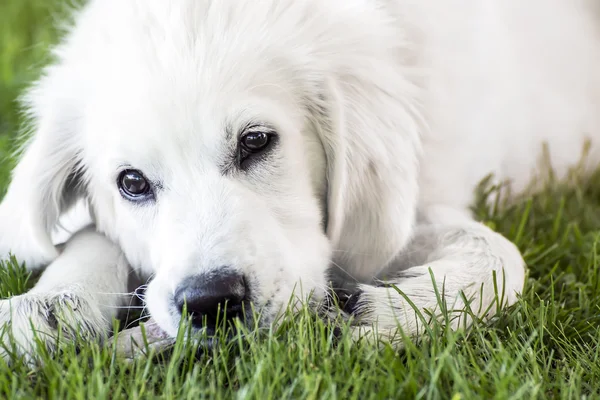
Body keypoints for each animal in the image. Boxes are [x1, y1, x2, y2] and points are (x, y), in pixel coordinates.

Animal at [1, 0, 600, 356]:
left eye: (256, 141)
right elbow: (87, 235)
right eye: (131, 182)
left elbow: (501, 258)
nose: (209, 303)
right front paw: (48, 307)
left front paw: (371, 316)